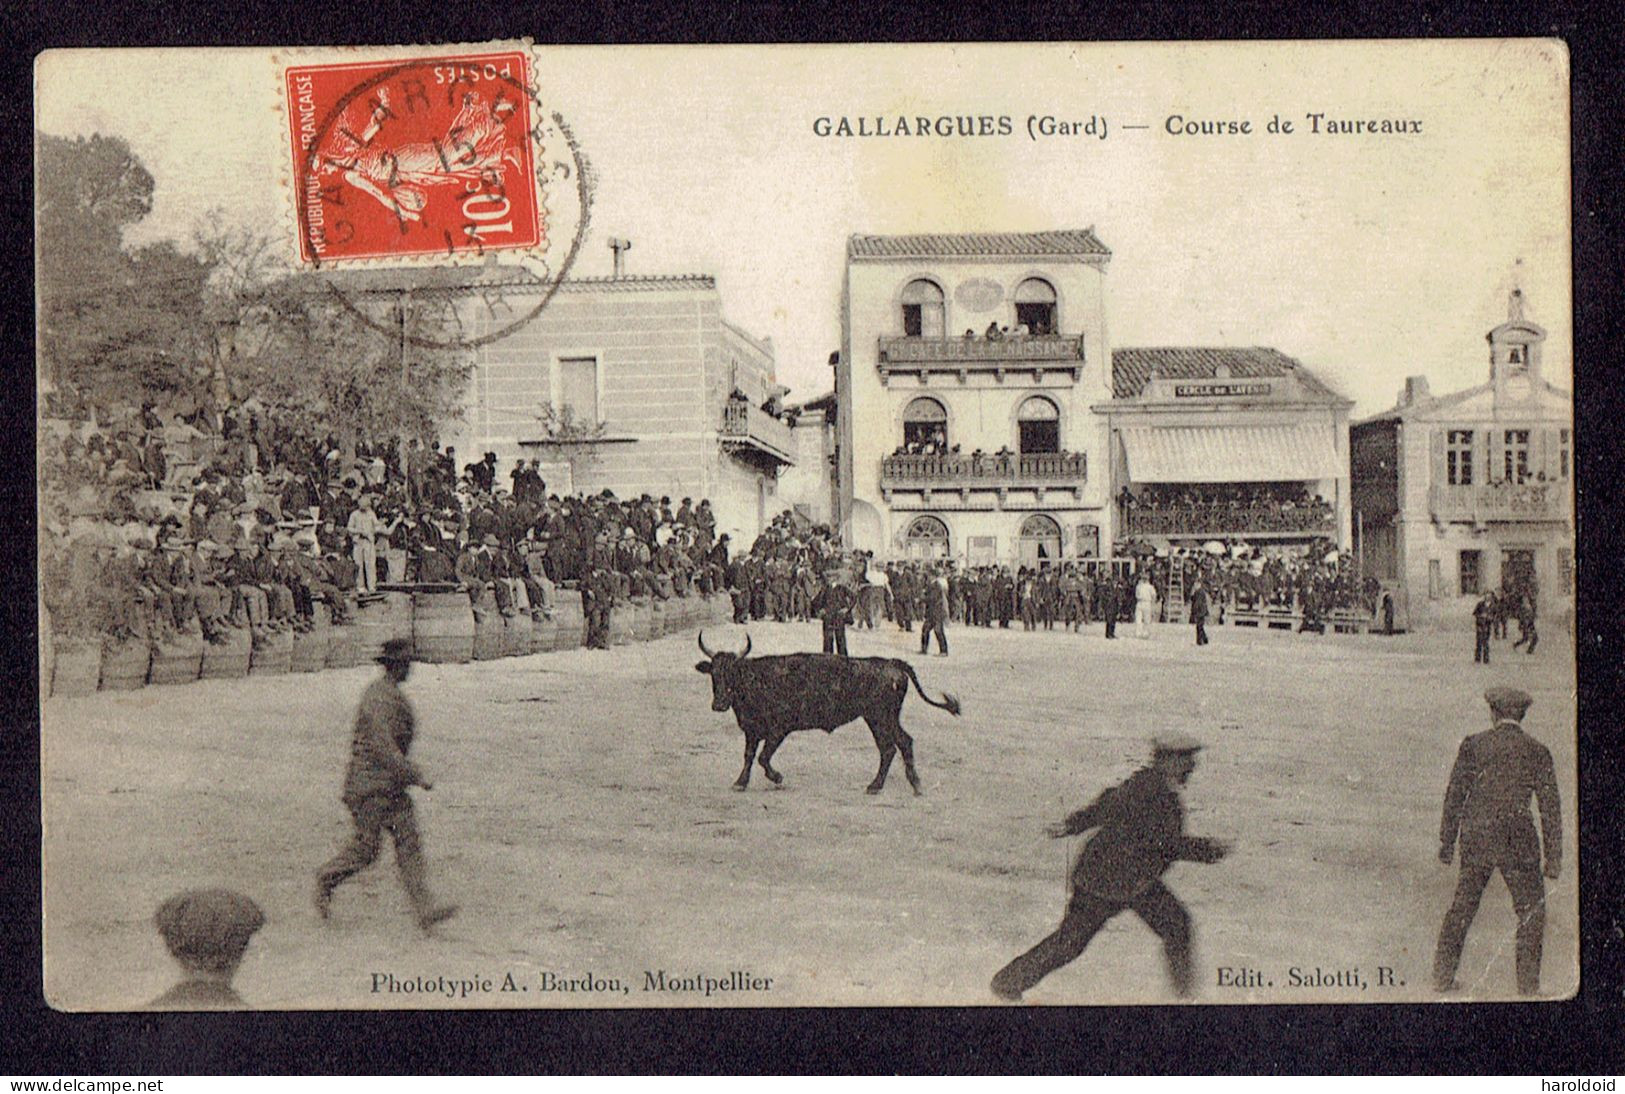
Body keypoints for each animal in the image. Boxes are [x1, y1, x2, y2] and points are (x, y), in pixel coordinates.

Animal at [689, 630, 962, 793]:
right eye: (714, 674)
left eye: (733, 673)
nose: (719, 704)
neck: (756, 680)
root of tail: (890, 662)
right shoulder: (752, 730)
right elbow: (748, 756)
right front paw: (740, 783)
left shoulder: (779, 729)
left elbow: (763, 757)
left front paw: (777, 778)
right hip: (881, 718)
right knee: (897, 745)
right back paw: (896, 784)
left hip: (880, 717)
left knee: (895, 745)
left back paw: (892, 785)